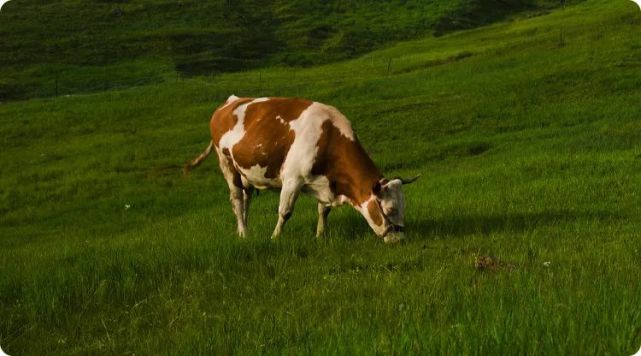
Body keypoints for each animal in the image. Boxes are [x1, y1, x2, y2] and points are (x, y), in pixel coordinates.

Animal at [182, 96, 418, 243]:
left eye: (404, 207)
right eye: (390, 210)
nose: (400, 239)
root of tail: (229, 102)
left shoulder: (325, 182)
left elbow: (323, 210)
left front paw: (320, 235)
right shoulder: (292, 179)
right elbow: (285, 212)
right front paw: (275, 237)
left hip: (245, 172)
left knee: (246, 199)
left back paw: (244, 230)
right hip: (227, 164)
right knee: (237, 200)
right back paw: (244, 233)